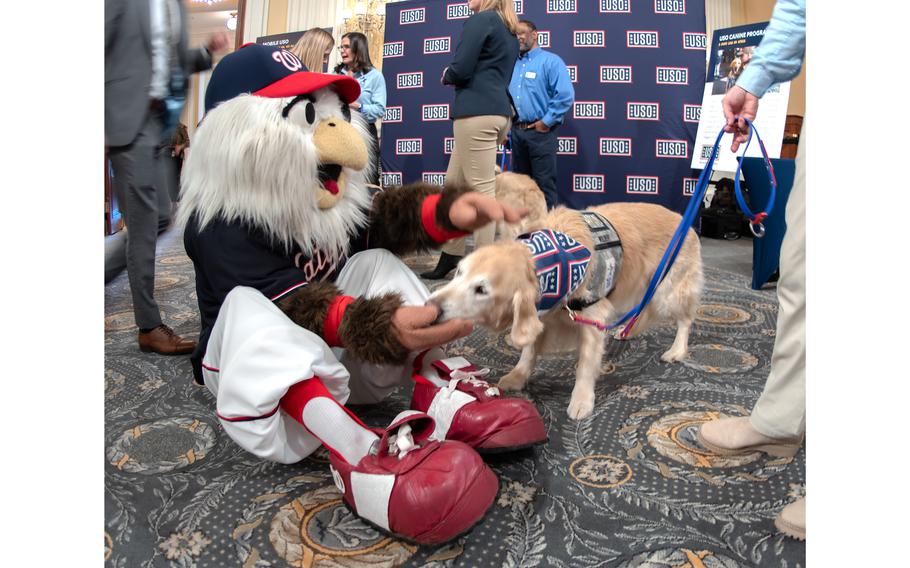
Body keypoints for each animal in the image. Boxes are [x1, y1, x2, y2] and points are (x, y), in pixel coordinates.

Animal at [428, 202, 704, 420]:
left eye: (481, 289)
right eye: (459, 271)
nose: (432, 307)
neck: (551, 262)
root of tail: (686, 222)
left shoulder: (593, 317)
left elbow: (585, 365)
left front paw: (581, 401)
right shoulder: (540, 313)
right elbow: (529, 350)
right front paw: (518, 376)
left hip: (668, 292)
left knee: (685, 320)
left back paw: (676, 350)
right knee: (642, 308)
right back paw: (628, 331)